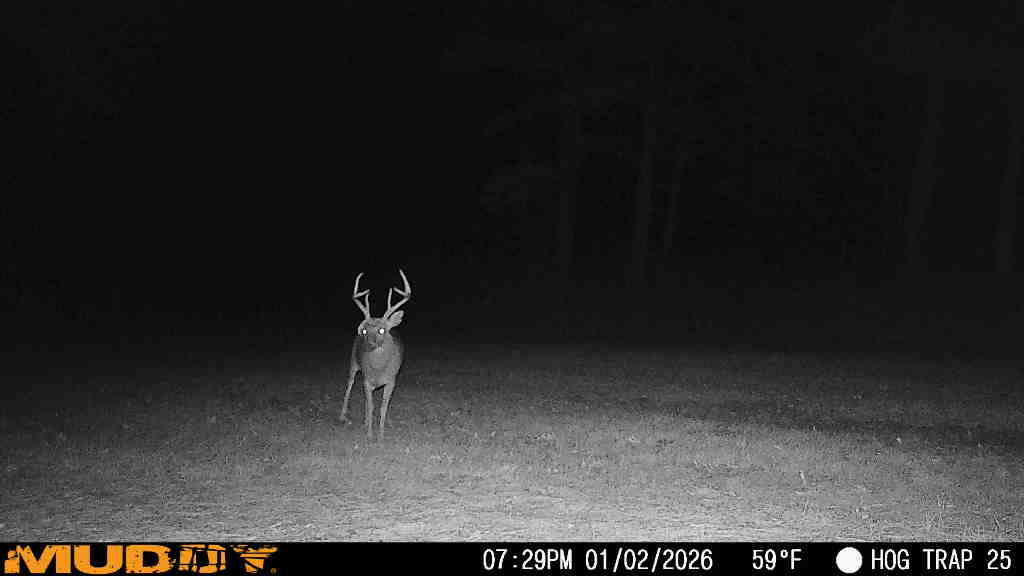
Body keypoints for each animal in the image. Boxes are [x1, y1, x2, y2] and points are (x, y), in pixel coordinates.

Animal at [340, 269, 412, 439]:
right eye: (365, 331)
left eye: (382, 330)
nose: (369, 344)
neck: (379, 369)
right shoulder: (367, 379)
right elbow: (371, 406)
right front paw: (370, 434)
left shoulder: (391, 380)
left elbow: (383, 406)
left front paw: (380, 434)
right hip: (353, 362)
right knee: (349, 384)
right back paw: (343, 416)